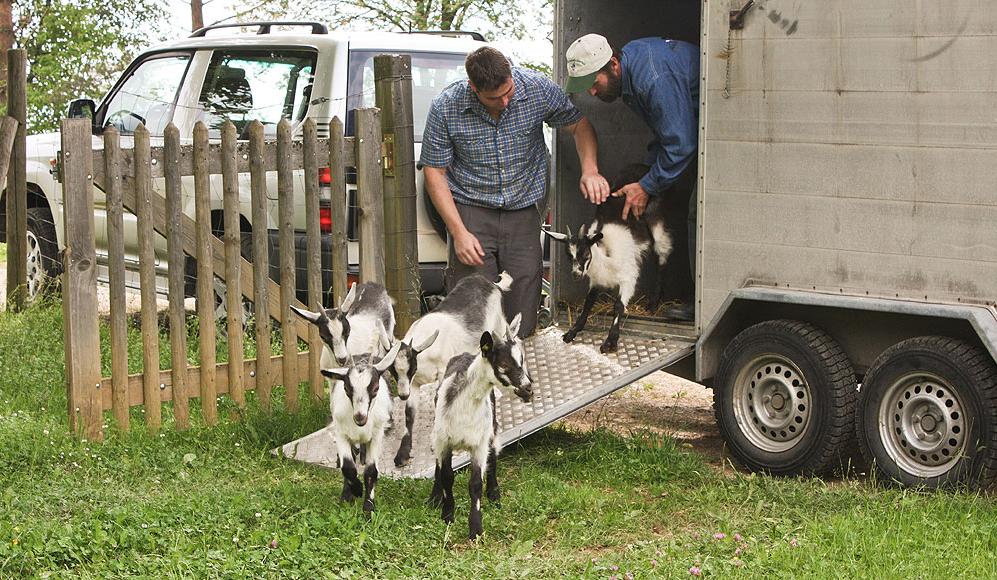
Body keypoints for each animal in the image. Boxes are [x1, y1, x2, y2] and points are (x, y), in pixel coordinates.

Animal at [318, 340, 398, 516]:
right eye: (346, 389)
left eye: (375, 388)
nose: (360, 417)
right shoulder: (341, 432)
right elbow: (348, 467)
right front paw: (355, 491)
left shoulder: (377, 435)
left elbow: (371, 471)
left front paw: (368, 508)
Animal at [388, 270, 512, 466]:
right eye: (393, 370)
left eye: (410, 368)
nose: (402, 395)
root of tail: (494, 284)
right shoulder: (413, 383)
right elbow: (409, 413)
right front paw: (402, 454)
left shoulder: (442, 371)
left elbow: (437, 398)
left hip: (499, 329)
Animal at [430, 314, 536, 540]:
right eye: (503, 364)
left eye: (522, 360)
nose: (528, 389)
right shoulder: (444, 441)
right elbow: (447, 476)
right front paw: (447, 514)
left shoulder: (478, 443)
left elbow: (476, 484)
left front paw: (476, 528)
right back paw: (434, 497)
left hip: (492, 428)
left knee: (493, 455)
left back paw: (494, 494)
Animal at [540, 177, 672, 352]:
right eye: (568, 255)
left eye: (585, 254)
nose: (576, 274)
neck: (604, 254)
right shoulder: (596, 280)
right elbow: (588, 302)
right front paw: (572, 331)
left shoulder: (628, 278)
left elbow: (618, 305)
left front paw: (611, 341)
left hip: (657, 223)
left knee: (663, 254)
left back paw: (653, 303)